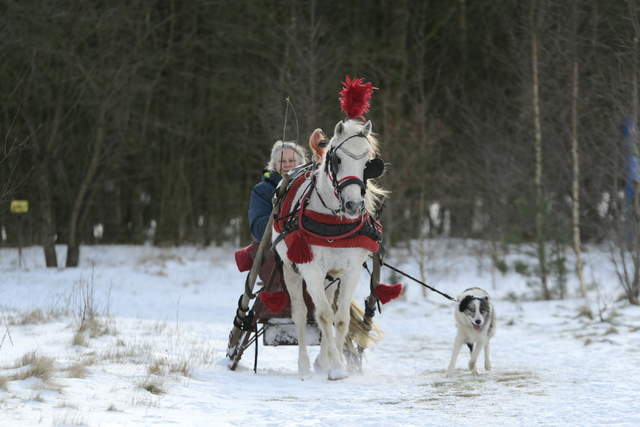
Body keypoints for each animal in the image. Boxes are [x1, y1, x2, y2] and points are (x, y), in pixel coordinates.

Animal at [274, 118, 384, 382]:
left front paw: (334, 362)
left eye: (367, 164)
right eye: (338, 160)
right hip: (291, 270)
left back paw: (323, 359)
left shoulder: (350, 271)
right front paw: (336, 368)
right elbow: (322, 315)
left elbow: (340, 319)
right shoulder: (311, 269)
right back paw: (304, 364)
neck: (334, 221)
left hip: (331, 277)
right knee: (301, 314)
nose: (353, 205)